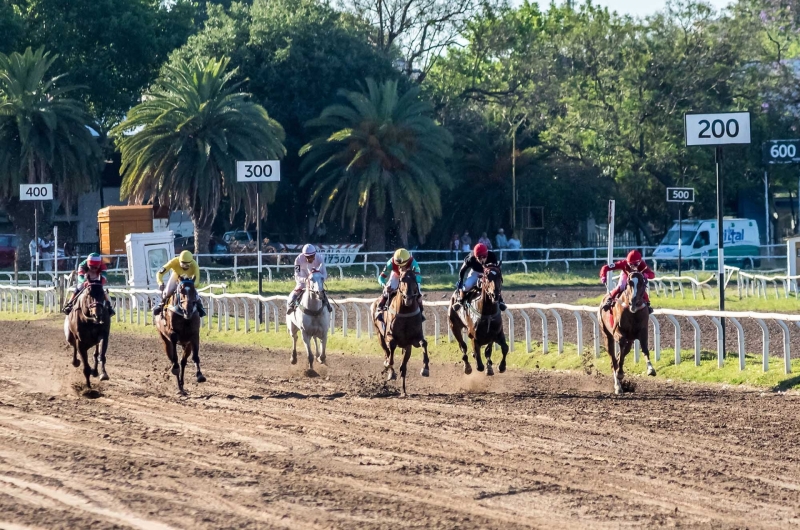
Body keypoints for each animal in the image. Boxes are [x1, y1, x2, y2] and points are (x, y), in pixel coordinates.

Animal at [370, 266, 428, 394]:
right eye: (401, 280)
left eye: (415, 279)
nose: (408, 297)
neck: (405, 311)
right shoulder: (389, 335)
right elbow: (391, 349)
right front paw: (389, 367)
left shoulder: (413, 340)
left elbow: (424, 343)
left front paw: (425, 369)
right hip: (379, 335)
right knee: (387, 352)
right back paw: (389, 370)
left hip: (407, 347)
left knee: (403, 367)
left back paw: (404, 391)